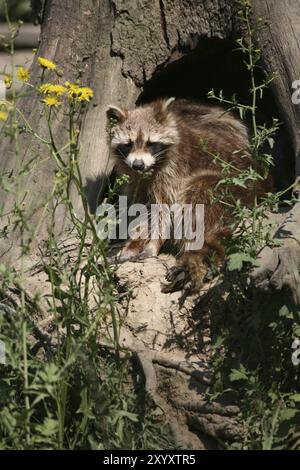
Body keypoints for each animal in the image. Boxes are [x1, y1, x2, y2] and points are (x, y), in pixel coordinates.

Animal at [106, 97, 272, 292]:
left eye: (150, 143)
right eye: (128, 144)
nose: (138, 165)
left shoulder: (174, 172)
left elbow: (165, 211)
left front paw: (154, 243)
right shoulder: (134, 180)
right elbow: (140, 209)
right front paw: (132, 244)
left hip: (234, 185)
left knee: (197, 201)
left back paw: (193, 256)